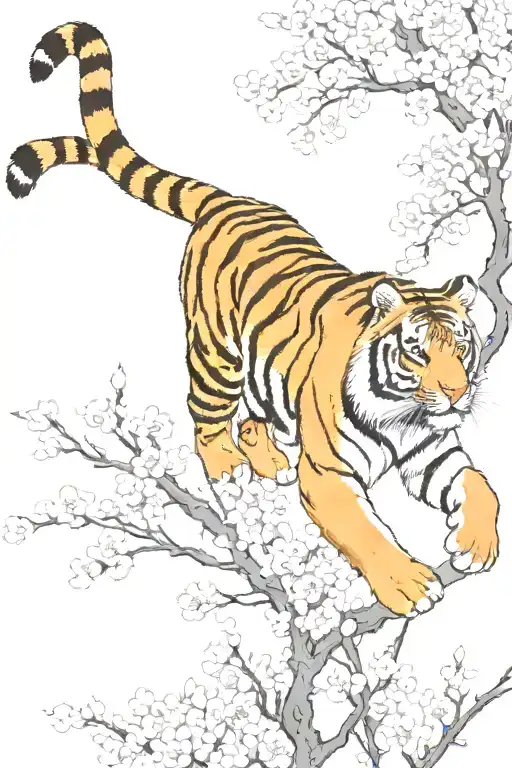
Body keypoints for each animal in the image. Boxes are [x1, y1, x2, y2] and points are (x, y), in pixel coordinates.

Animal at [7, 22, 499, 617]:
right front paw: (408, 584)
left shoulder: (433, 452)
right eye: (416, 351)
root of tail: (227, 199)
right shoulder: (327, 475)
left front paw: (476, 545)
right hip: (217, 355)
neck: (403, 415)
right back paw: (229, 468)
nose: (455, 393)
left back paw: (267, 462)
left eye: (462, 348)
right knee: (206, 416)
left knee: (251, 416)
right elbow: (365, 531)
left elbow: (480, 486)